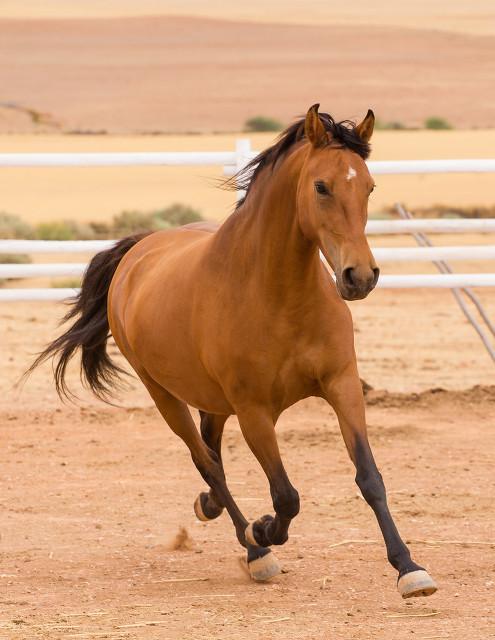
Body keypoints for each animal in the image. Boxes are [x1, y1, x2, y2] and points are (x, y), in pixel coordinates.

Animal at [27, 102, 438, 596]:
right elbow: (285, 496)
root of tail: (139, 250)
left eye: (370, 186)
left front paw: (409, 568)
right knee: (208, 463)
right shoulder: (255, 411)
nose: (360, 277)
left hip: (213, 401)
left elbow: (369, 477)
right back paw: (255, 551)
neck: (278, 295)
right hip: (166, 396)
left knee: (212, 453)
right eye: (321, 186)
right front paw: (261, 531)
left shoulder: (342, 386)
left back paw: (211, 508)